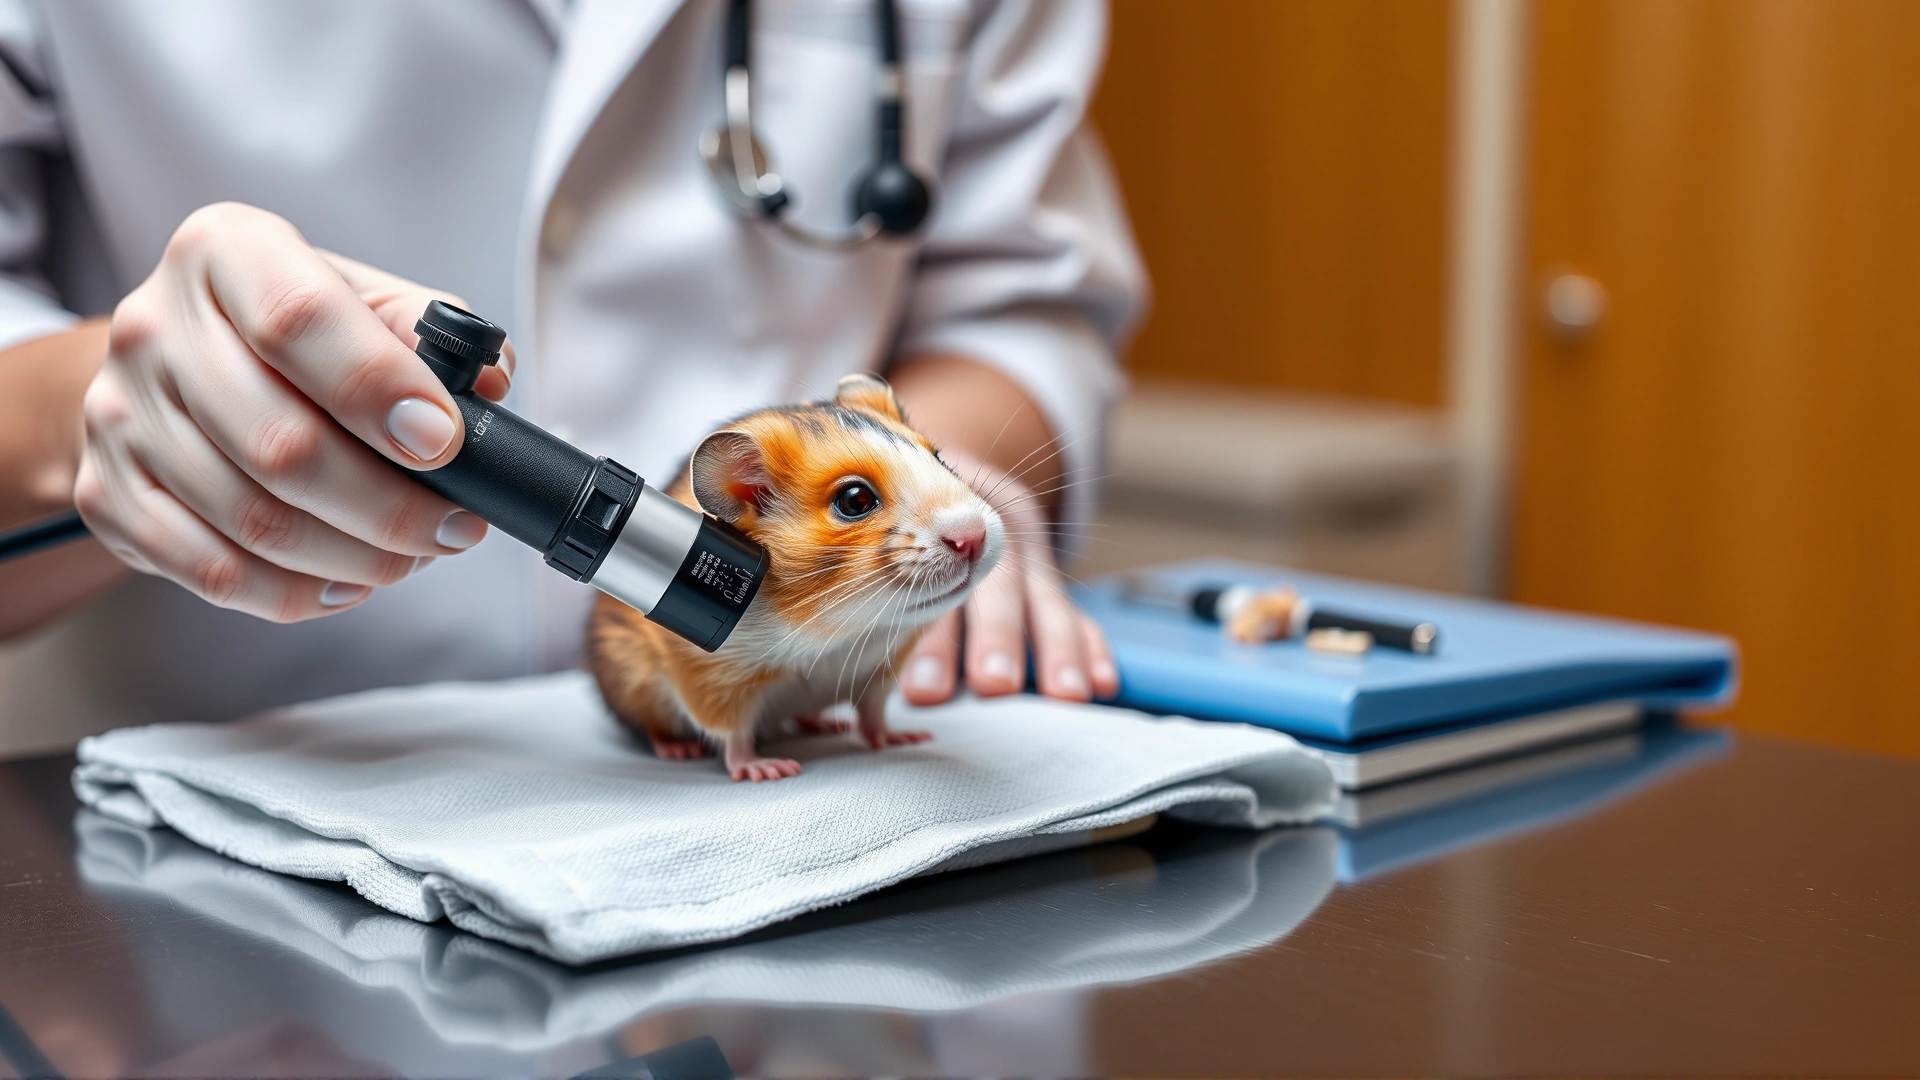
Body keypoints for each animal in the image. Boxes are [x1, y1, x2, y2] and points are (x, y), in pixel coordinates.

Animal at [587, 374, 1006, 781]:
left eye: (939, 457)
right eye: (855, 500)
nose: (973, 536)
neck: (839, 630)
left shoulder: (881, 669)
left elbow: (874, 713)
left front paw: (905, 739)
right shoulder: (707, 674)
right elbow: (732, 734)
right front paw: (770, 771)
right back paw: (679, 750)